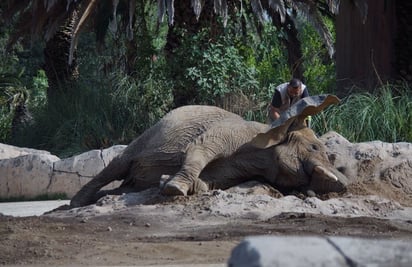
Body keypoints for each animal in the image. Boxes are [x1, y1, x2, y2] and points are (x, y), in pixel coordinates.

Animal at [70, 95, 348, 208]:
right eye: (315, 147)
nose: (345, 186)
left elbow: (211, 182)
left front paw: (167, 182)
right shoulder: (234, 133)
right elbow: (198, 147)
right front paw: (174, 189)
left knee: (126, 187)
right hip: (145, 136)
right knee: (117, 165)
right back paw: (77, 203)